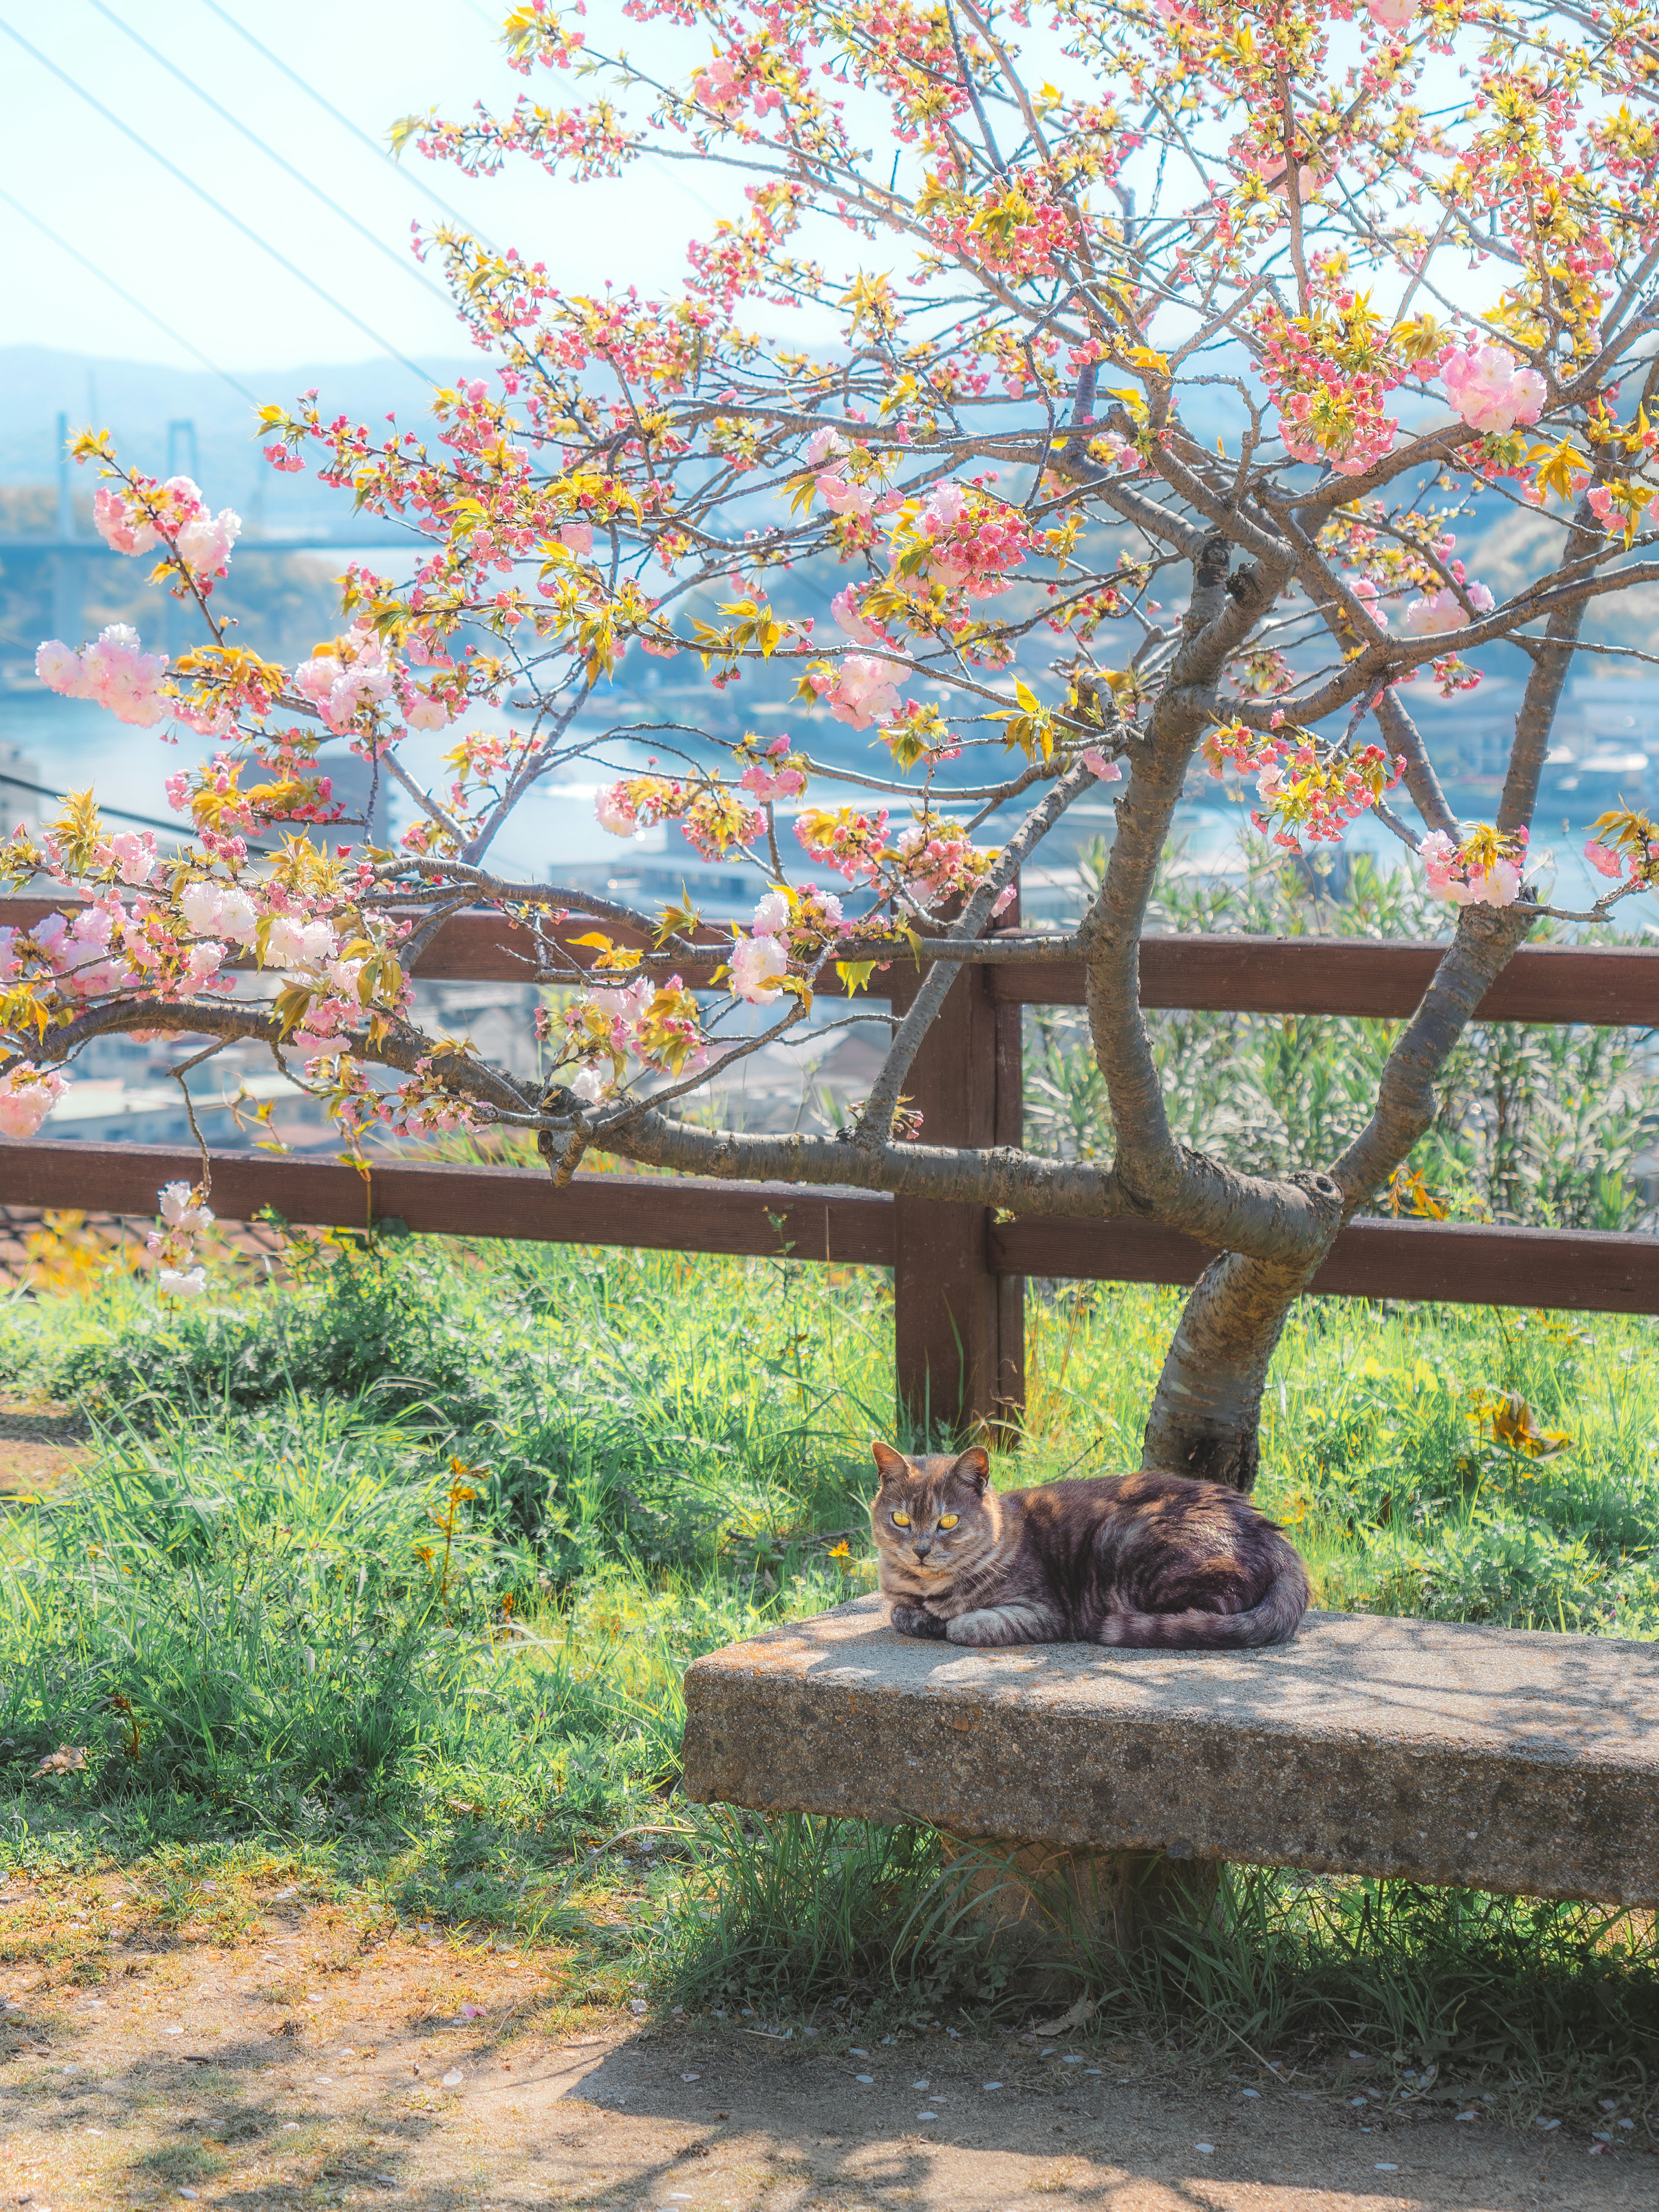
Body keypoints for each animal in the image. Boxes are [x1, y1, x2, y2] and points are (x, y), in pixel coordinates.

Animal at [871, 1442, 1309, 1654]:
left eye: (948, 1522)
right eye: (901, 1520)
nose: (921, 1550)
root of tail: (1274, 1537)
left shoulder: (1044, 1611)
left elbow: (968, 1624)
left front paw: (947, 1622)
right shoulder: (901, 1599)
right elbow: (899, 1613)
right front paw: (921, 1618)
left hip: (1132, 1545)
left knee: (1219, 1605)